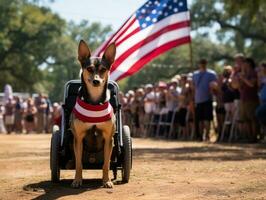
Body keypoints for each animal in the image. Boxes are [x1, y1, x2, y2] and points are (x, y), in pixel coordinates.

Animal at [70, 39, 116, 188]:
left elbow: (106, 164)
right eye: (89, 69)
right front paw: (77, 180)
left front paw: (106, 181)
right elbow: (79, 164)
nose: (96, 81)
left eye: (103, 69)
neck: (94, 103)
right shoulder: (78, 139)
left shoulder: (109, 139)